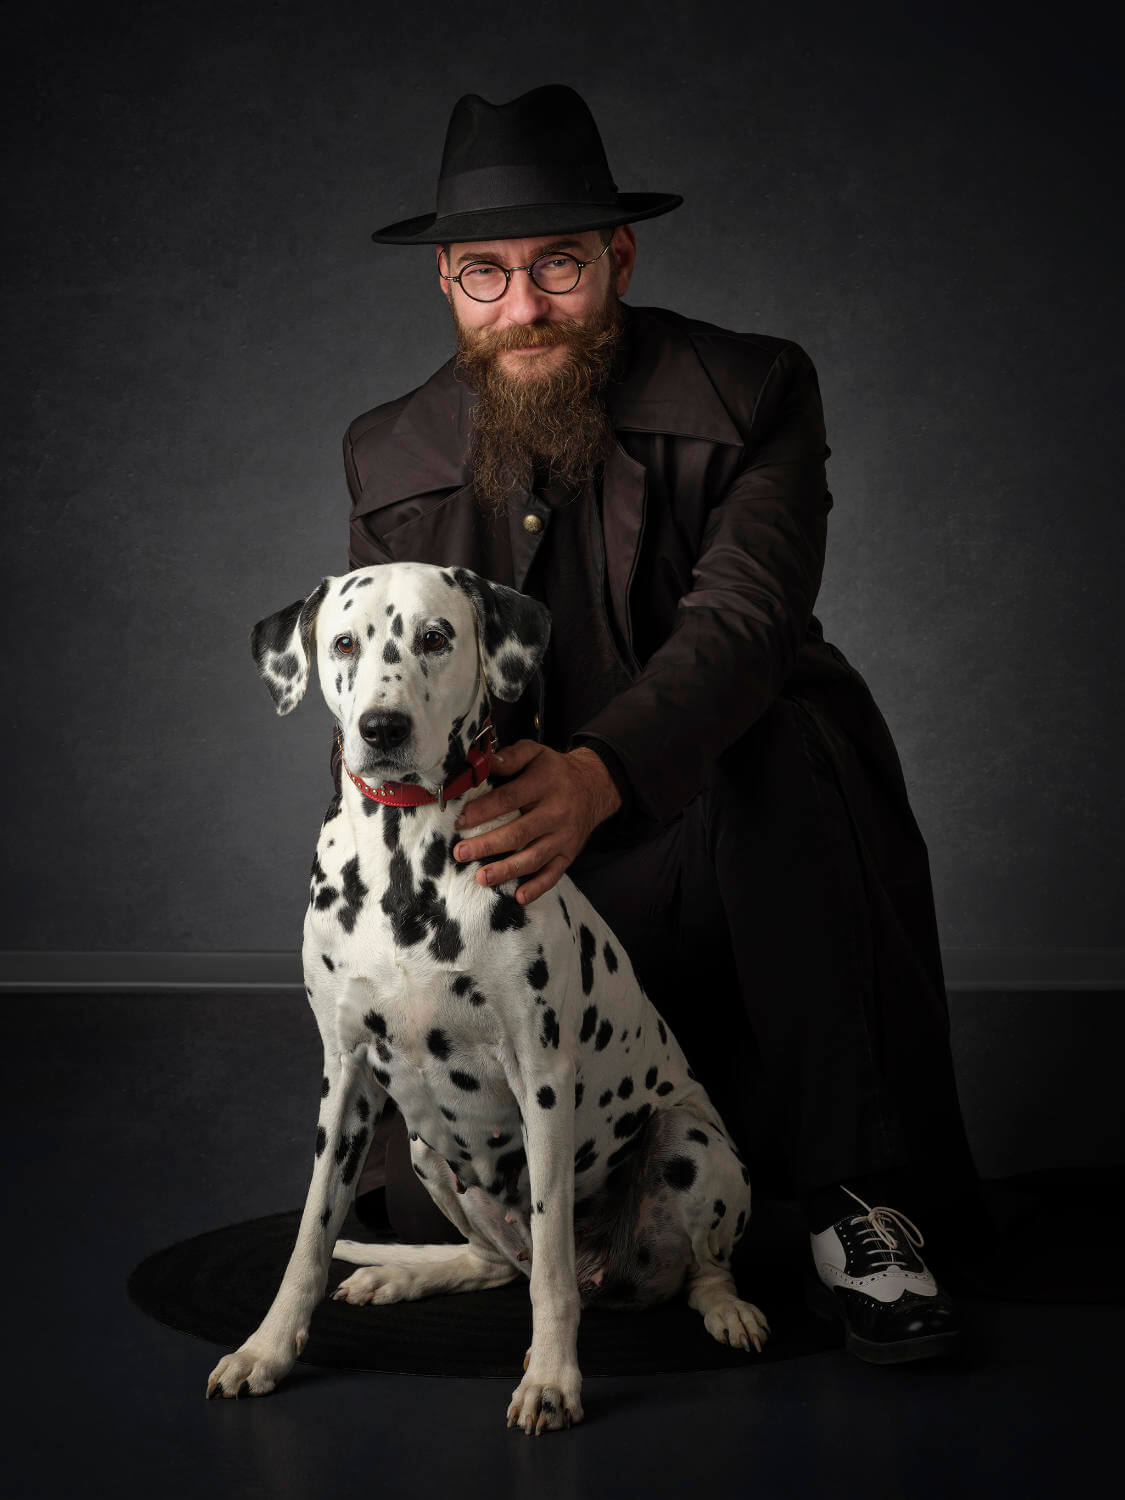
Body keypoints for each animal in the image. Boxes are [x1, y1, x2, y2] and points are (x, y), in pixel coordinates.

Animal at [206, 561, 768, 1432]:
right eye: (344, 642)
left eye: (435, 637)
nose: (383, 727)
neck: (404, 860)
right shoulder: (345, 1080)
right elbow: (308, 1236)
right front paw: (266, 1348)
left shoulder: (541, 1080)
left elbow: (553, 1277)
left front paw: (553, 1378)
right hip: (421, 1150)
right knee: (493, 1261)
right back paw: (404, 1273)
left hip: (690, 1141)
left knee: (687, 1268)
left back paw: (725, 1309)